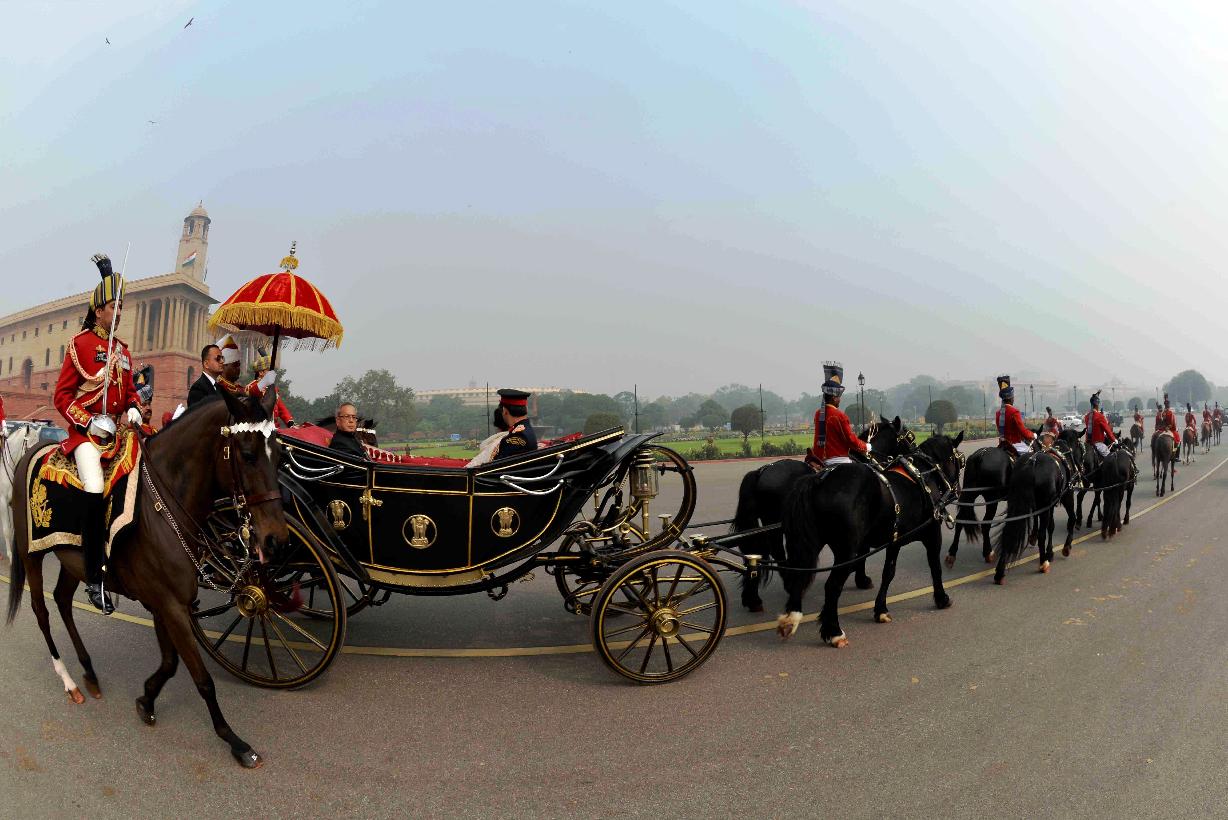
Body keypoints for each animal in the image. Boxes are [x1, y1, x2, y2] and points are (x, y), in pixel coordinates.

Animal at [5, 389, 287, 768]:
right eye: (248, 454)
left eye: (281, 456)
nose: (276, 540)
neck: (166, 507)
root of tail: (30, 453)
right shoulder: (170, 605)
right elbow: (201, 678)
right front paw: (234, 740)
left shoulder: (165, 604)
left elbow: (169, 664)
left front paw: (147, 699)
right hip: (31, 553)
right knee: (42, 611)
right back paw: (69, 681)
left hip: (73, 560)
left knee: (63, 600)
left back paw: (89, 672)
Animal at [731, 418, 911, 612]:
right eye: (909, 437)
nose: (914, 455)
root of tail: (762, 470)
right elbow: (861, 551)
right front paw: (861, 578)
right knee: (777, 551)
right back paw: (789, 583)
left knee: (756, 553)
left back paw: (753, 597)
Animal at [776, 431, 965, 648]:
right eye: (959, 459)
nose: (958, 490)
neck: (922, 475)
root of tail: (819, 479)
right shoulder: (932, 533)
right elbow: (935, 566)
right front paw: (942, 598)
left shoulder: (895, 540)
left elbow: (888, 573)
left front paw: (880, 609)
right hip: (846, 551)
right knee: (832, 586)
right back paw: (834, 631)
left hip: (810, 544)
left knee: (800, 575)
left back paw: (791, 618)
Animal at [992, 429, 1082, 584]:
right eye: (1079, 444)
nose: (1079, 468)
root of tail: (1031, 464)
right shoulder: (1065, 495)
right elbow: (1070, 519)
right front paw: (1065, 547)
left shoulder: (1049, 504)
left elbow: (1051, 526)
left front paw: (1050, 552)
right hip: (1045, 503)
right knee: (1041, 533)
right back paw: (1042, 563)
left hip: (1015, 503)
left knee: (1009, 531)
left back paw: (1000, 571)